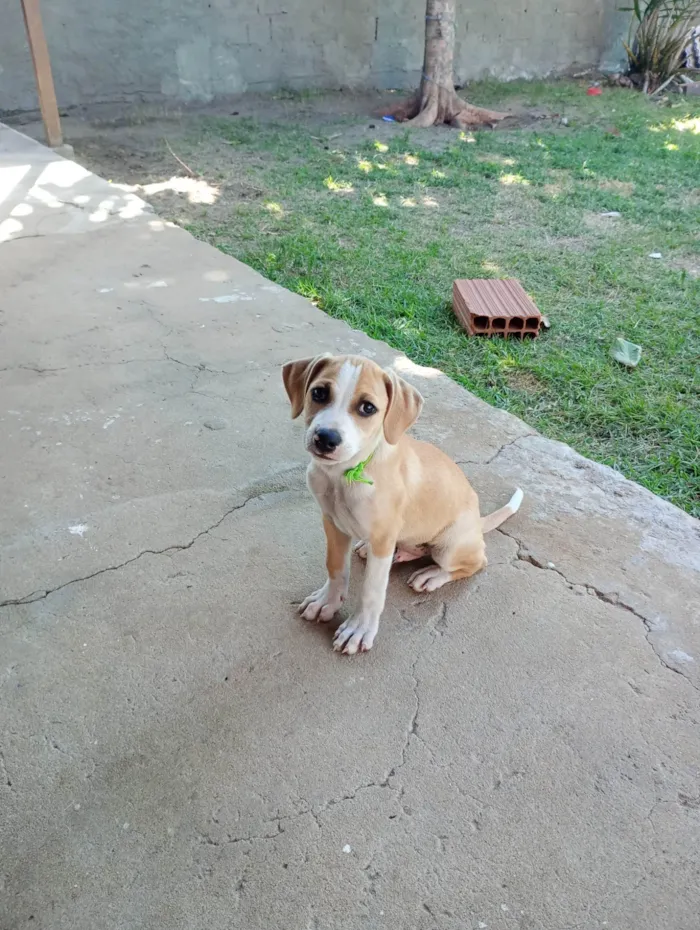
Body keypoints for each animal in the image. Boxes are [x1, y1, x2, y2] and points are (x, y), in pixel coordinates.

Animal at [282, 356, 524, 652]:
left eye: (367, 408)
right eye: (318, 393)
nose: (326, 438)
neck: (344, 475)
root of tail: (478, 523)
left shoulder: (382, 537)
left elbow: (372, 591)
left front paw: (358, 629)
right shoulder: (333, 524)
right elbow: (336, 567)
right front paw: (326, 602)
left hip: (450, 545)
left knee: (476, 562)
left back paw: (432, 575)